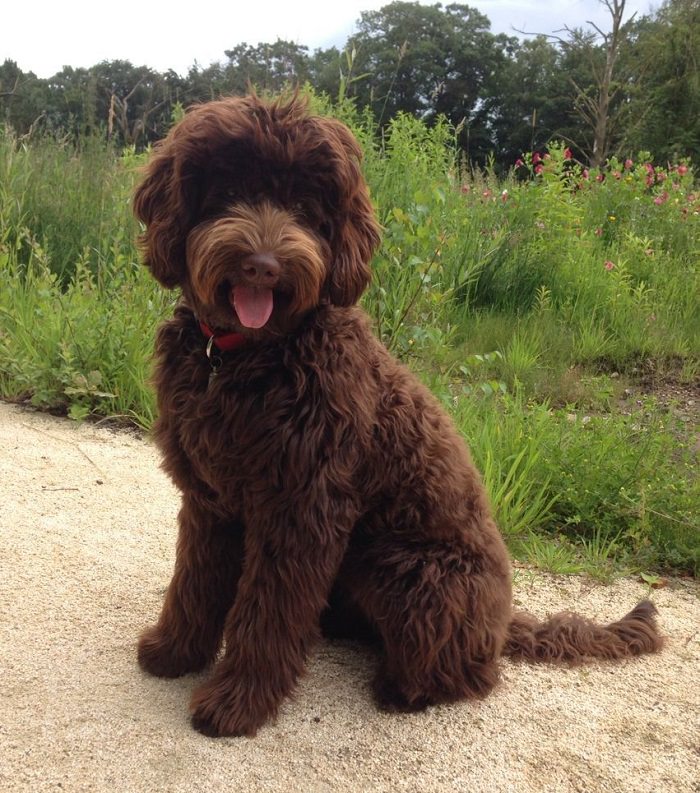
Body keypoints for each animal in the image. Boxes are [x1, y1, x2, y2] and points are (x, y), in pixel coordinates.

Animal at [133, 97, 660, 736]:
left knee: (473, 674)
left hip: (406, 568)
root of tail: (502, 621)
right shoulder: (211, 497)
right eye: (228, 190)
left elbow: (267, 612)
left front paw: (238, 702)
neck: (245, 356)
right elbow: (195, 580)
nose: (262, 266)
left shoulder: (302, 509)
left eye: (306, 206)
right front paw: (174, 652)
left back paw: (402, 688)